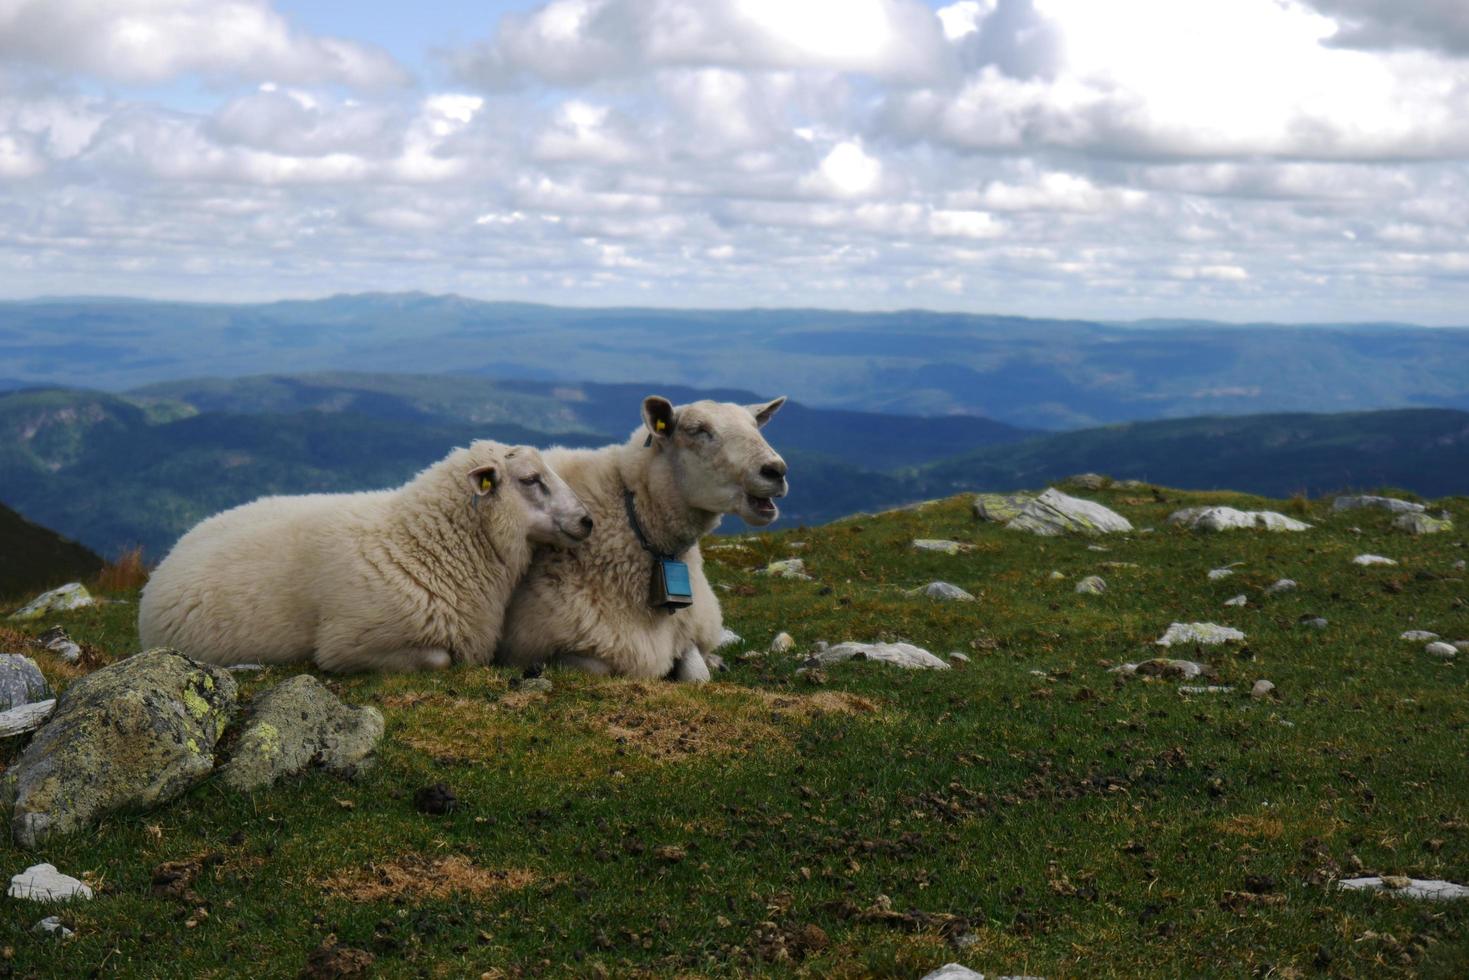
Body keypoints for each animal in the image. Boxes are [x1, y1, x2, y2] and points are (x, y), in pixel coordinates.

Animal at [138, 443, 593, 675]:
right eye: (530, 479)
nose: (587, 521)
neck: (419, 544)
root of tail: (176, 548)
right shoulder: (349, 645)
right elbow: (440, 659)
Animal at [496, 393, 793, 687]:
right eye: (699, 430)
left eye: (755, 426)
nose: (776, 470)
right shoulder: (548, 643)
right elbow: (599, 667)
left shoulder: (686, 630)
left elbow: (698, 675)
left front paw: (709, 664)